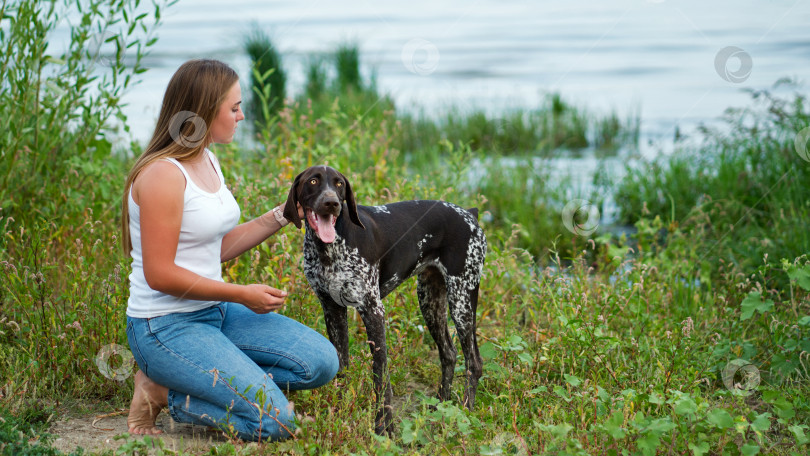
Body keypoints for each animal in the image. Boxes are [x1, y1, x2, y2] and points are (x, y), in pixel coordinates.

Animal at [284, 166, 486, 436]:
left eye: (339, 184)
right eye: (313, 181)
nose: (332, 203)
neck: (329, 248)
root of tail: (469, 214)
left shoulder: (373, 311)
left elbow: (380, 374)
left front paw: (384, 425)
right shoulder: (332, 309)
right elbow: (341, 365)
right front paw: (339, 411)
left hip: (462, 301)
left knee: (474, 361)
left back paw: (464, 411)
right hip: (430, 302)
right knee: (449, 354)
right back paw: (441, 407)